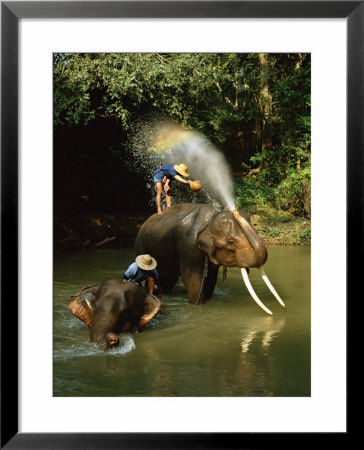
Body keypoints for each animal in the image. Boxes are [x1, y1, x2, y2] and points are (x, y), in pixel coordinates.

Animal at [134, 202, 284, 314]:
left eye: (257, 232)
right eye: (231, 242)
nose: (234, 209)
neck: (209, 223)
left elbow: (211, 279)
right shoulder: (188, 246)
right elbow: (193, 279)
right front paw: (197, 304)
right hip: (141, 246)